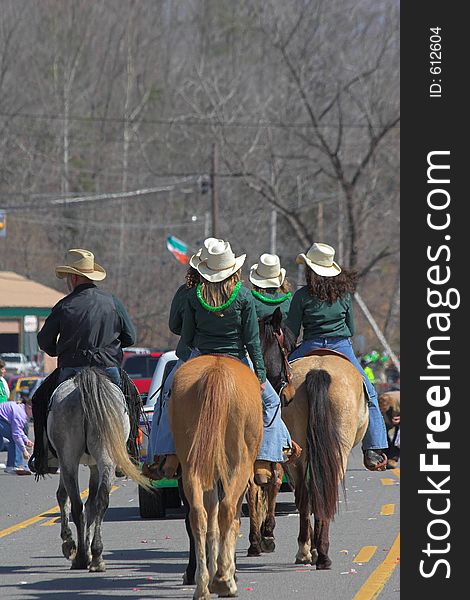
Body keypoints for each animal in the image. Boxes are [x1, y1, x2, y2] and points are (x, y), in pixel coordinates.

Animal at [47, 366, 151, 572]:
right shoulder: (93, 464)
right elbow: (91, 505)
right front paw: (83, 548)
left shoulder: (74, 463)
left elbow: (66, 497)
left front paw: (69, 543)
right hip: (103, 457)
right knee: (99, 501)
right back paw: (95, 556)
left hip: (69, 459)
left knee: (78, 503)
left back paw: (82, 556)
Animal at [169, 356, 264, 600]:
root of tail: (216, 370)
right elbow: (233, 523)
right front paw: (226, 573)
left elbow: (212, 525)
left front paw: (212, 574)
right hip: (239, 465)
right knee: (228, 510)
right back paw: (223, 582)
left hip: (191, 465)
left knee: (198, 516)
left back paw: (202, 586)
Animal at [255, 310, 370, 568]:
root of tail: (318, 371)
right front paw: (312, 548)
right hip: (333, 451)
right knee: (319, 490)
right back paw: (319, 552)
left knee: (307, 493)